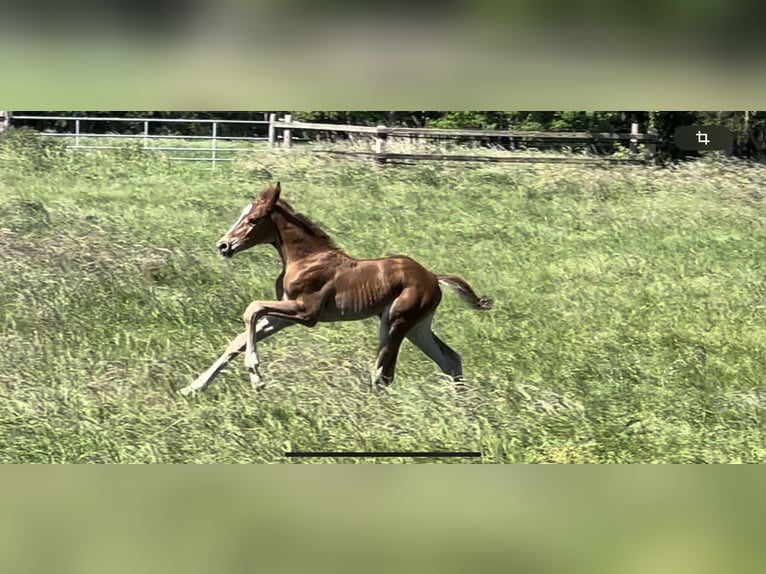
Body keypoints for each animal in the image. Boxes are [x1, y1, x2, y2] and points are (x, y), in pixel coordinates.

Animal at [181, 184, 496, 396]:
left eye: (253, 220)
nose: (223, 246)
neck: (306, 258)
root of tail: (432, 276)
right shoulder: (283, 315)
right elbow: (238, 339)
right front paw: (193, 387)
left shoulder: (306, 313)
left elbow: (252, 308)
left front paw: (257, 377)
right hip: (417, 327)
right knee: (450, 360)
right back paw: (464, 408)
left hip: (396, 323)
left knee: (383, 372)